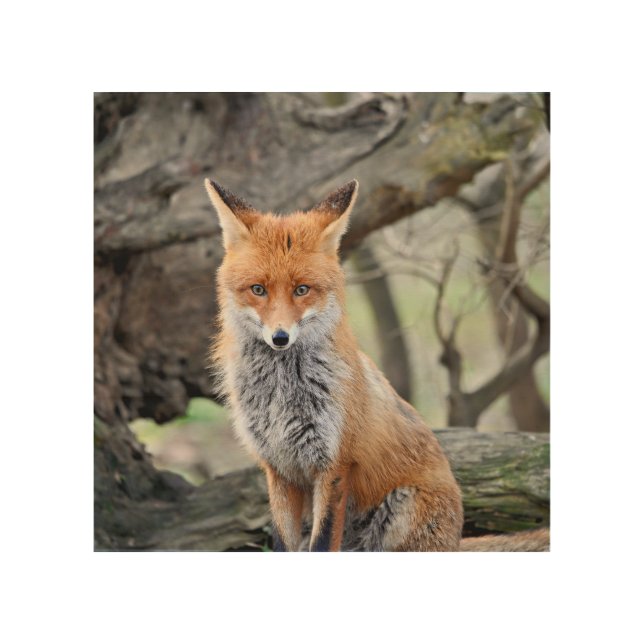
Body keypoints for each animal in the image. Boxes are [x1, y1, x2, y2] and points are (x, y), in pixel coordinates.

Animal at [205, 177, 549, 552]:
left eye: (302, 290)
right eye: (258, 290)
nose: (280, 338)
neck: (282, 393)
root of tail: (457, 540)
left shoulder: (334, 465)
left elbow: (321, 543)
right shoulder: (278, 468)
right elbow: (284, 544)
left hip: (400, 510)